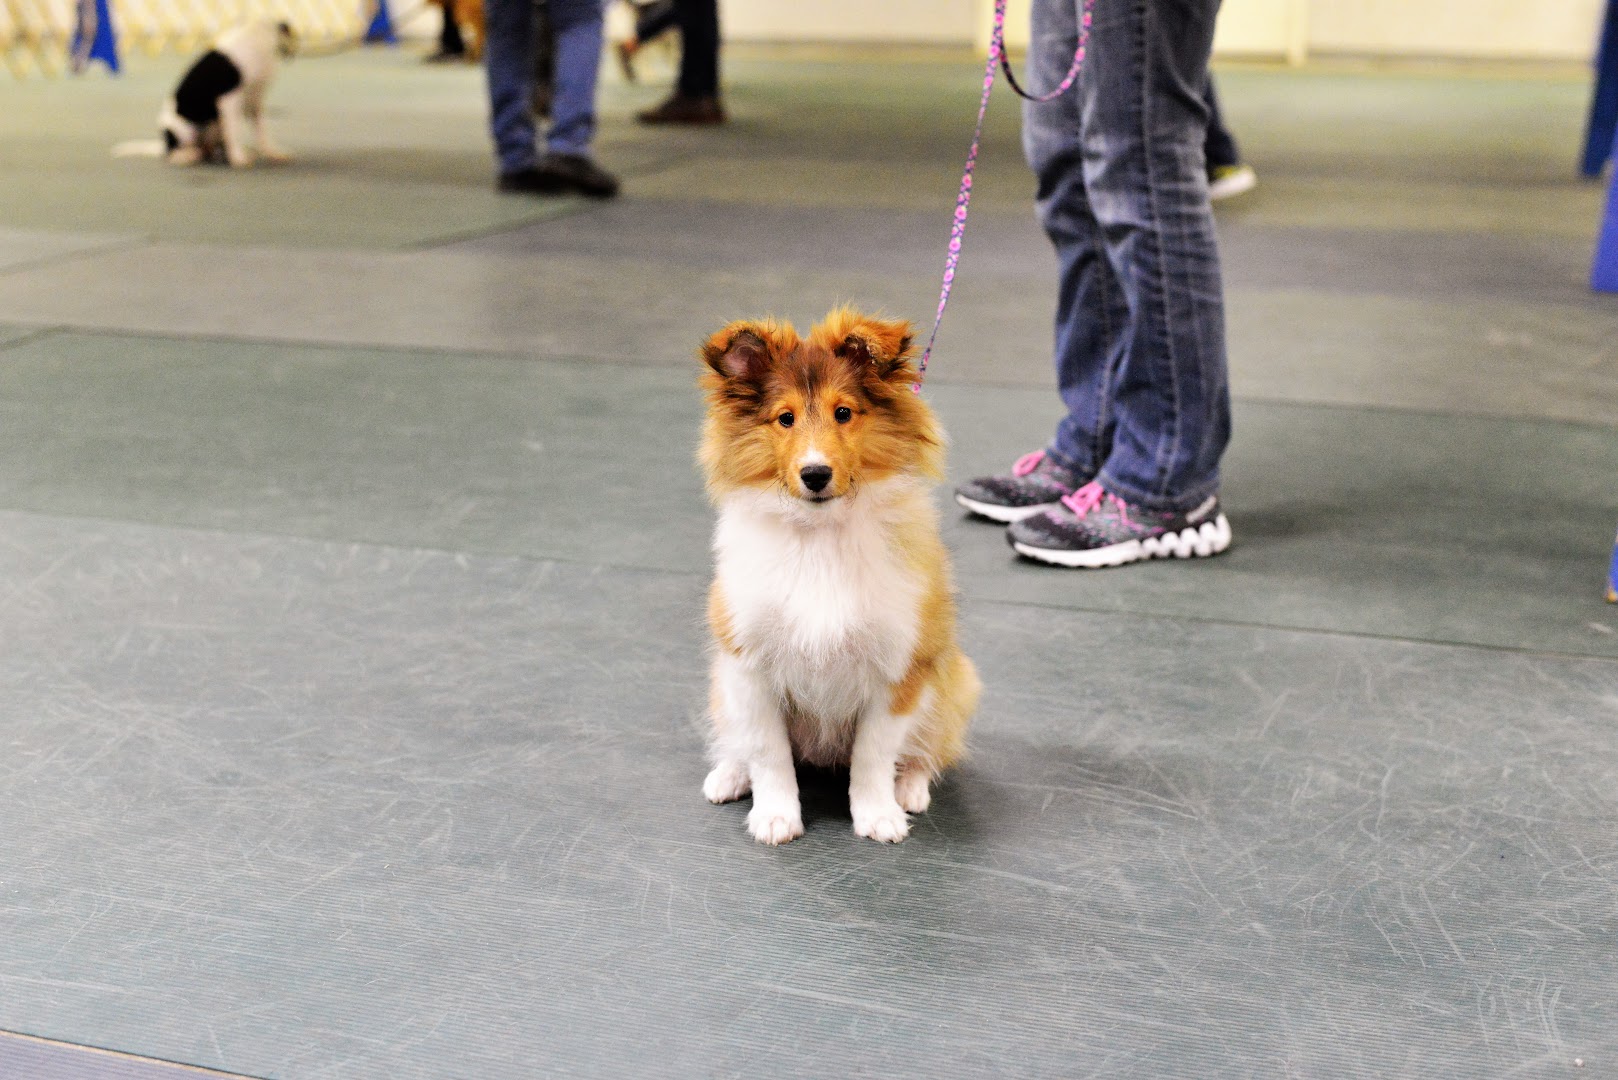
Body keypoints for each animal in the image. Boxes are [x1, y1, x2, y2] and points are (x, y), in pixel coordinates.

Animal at [692, 307, 977, 848]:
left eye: (843, 413)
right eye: (785, 418)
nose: (815, 474)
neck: (819, 535)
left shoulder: (898, 669)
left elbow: (873, 754)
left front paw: (878, 816)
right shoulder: (748, 665)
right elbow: (768, 753)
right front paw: (776, 818)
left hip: (953, 683)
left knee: (925, 753)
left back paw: (910, 790)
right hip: (720, 684)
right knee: (740, 743)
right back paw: (728, 776)